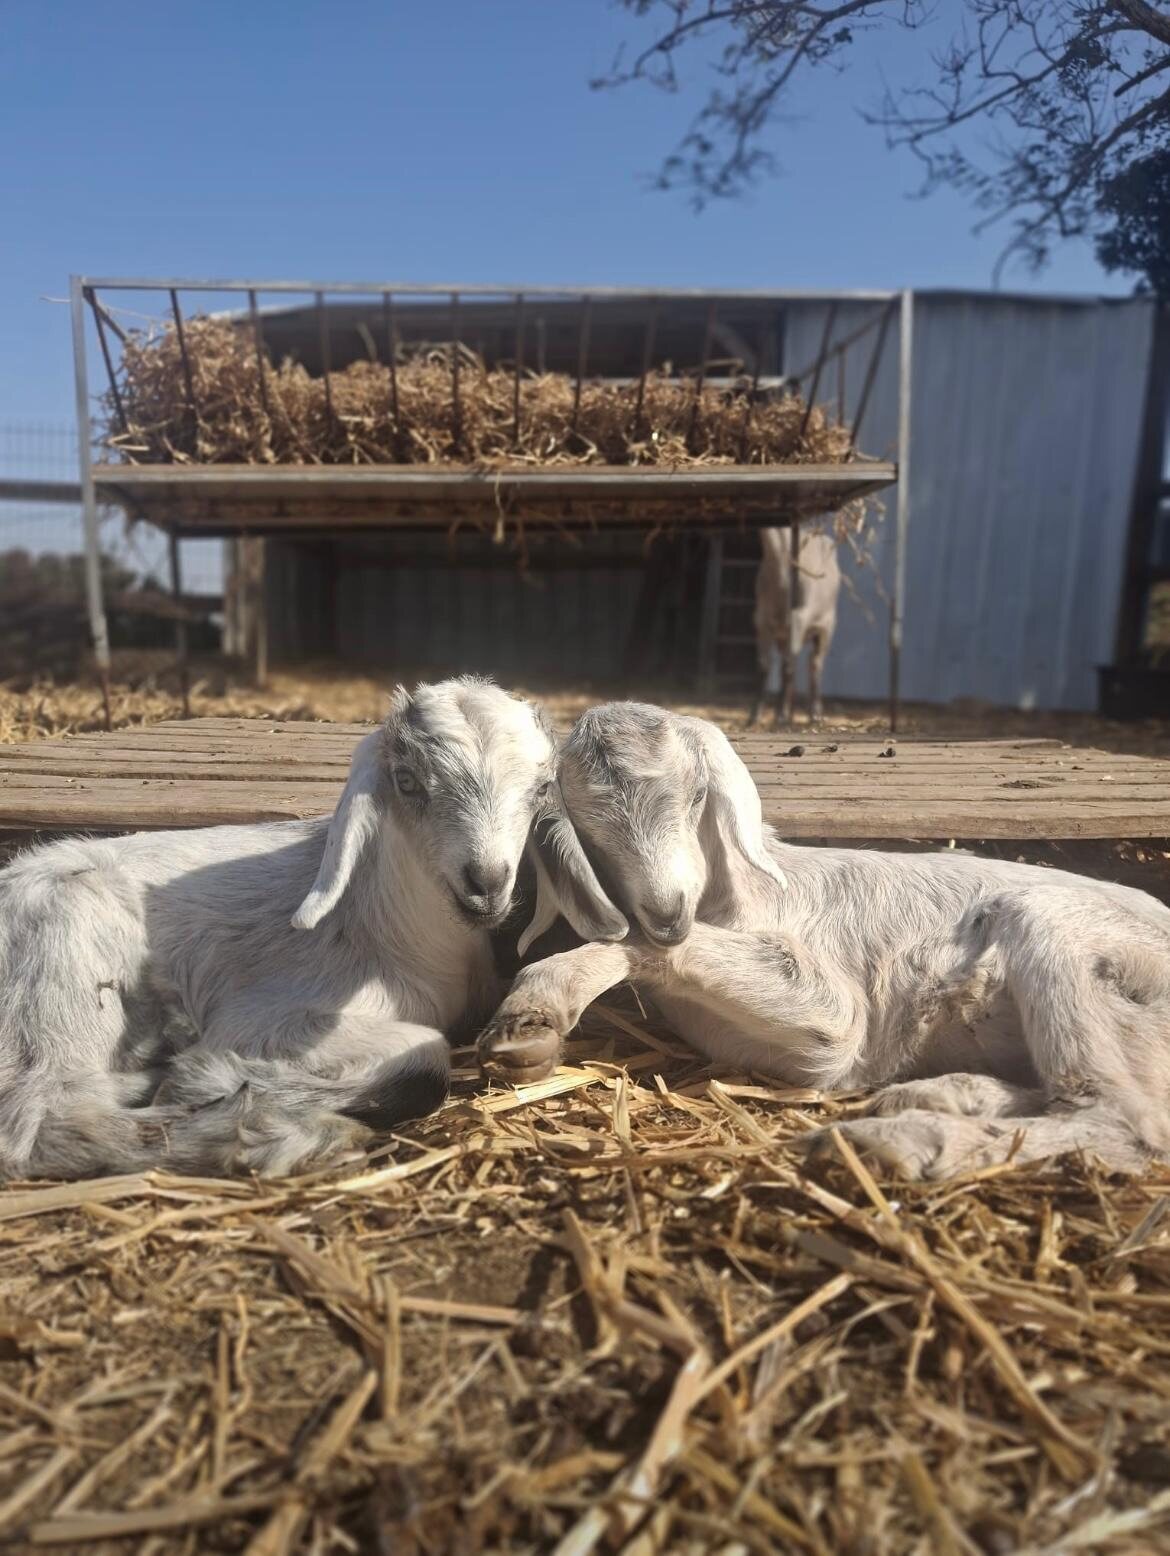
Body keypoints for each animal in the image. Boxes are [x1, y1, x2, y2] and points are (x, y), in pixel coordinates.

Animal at [0, 677, 556, 1180]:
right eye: (407, 780)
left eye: (542, 787)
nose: (486, 883)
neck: (381, 924)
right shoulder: (265, 1020)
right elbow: (427, 1059)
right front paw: (206, 1078)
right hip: (61, 974)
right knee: (45, 1122)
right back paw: (283, 1136)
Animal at [479, 701, 1170, 1179]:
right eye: (588, 826)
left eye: (698, 795)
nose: (667, 910)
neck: (743, 897)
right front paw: (531, 1028)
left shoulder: (838, 1037)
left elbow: (646, 950)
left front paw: (535, 1007)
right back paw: (939, 1096)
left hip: (1064, 939)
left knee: (1124, 1120)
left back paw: (905, 1140)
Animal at [749, 525, 840, 728]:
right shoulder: (762, 621)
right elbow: (763, 666)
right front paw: (754, 717)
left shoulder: (799, 617)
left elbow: (788, 666)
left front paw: (782, 716)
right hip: (783, 635)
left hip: (826, 627)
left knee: (814, 664)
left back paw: (815, 715)